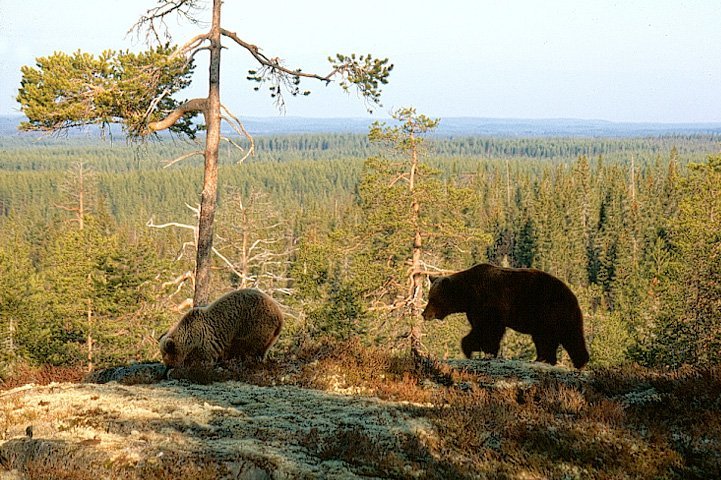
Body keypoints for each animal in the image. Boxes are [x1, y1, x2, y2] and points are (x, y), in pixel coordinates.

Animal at [420, 264, 588, 370]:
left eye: (432, 299)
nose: (424, 314)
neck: (468, 295)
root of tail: (572, 295)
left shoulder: (489, 303)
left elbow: (488, 329)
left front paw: (472, 349)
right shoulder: (475, 309)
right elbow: (481, 329)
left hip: (550, 312)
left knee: (563, 337)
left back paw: (575, 361)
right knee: (549, 339)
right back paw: (545, 359)